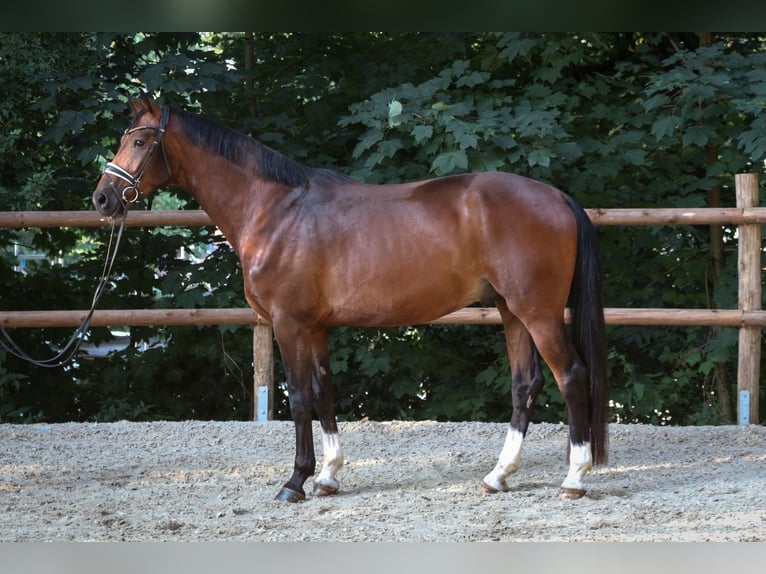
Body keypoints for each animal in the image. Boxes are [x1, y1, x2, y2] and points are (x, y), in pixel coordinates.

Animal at [92, 93, 608, 503]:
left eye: (139, 142)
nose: (102, 199)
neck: (274, 209)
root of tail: (556, 197)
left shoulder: (288, 324)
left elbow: (300, 397)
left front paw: (295, 482)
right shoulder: (315, 326)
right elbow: (325, 392)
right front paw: (328, 477)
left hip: (538, 313)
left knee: (571, 376)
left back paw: (574, 478)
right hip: (511, 311)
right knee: (526, 384)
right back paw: (499, 475)